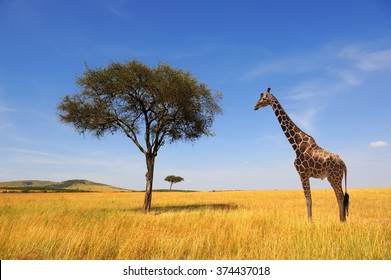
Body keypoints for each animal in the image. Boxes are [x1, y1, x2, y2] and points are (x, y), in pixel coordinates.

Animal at [256, 86, 350, 222]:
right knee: (340, 197)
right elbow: (308, 199)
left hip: (335, 177)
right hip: (334, 178)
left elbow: (308, 200)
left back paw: (342, 221)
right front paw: (310, 221)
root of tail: (343, 163)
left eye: (263, 98)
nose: (255, 106)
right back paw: (342, 221)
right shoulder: (304, 174)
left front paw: (309, 222)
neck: (296, 145)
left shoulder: (302, 173)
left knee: (340, 196)